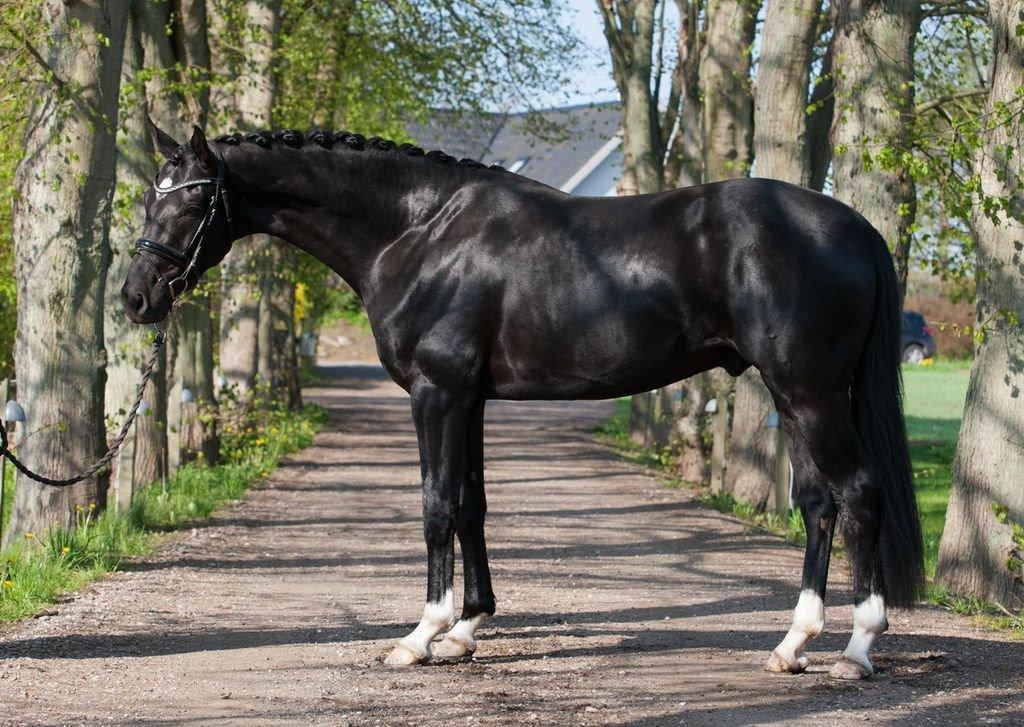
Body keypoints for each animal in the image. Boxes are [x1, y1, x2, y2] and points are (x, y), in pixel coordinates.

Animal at [121, 122, 929, 679]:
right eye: (151, 198)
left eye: (191, 203)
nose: (135, 298)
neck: (418, 230)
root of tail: (853, 225)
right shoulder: (470, 398)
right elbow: (473, 505)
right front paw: (467, 629)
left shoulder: (437, 393)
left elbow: (437, 505)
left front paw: (421, 636)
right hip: (792, 397)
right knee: (818, 503)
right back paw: (792, 644)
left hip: (811, 392)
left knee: (860, 494)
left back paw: (857, 648)